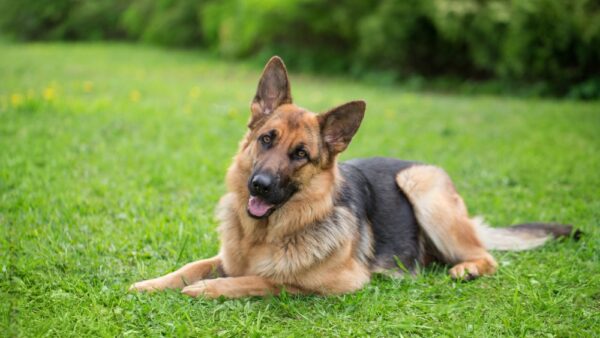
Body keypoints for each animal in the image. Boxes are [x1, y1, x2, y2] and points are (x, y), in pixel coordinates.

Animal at [131, 57, 576, 298]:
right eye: (266, 139)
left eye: (300, 154)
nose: (259, 186)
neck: (264, 234)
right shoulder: (225, 257)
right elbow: (192, 266)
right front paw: (152, 283)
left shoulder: (336, 283)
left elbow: (263, 280)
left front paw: (210, 290)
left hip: (421, 184)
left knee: (486, 256)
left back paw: (466, 268)